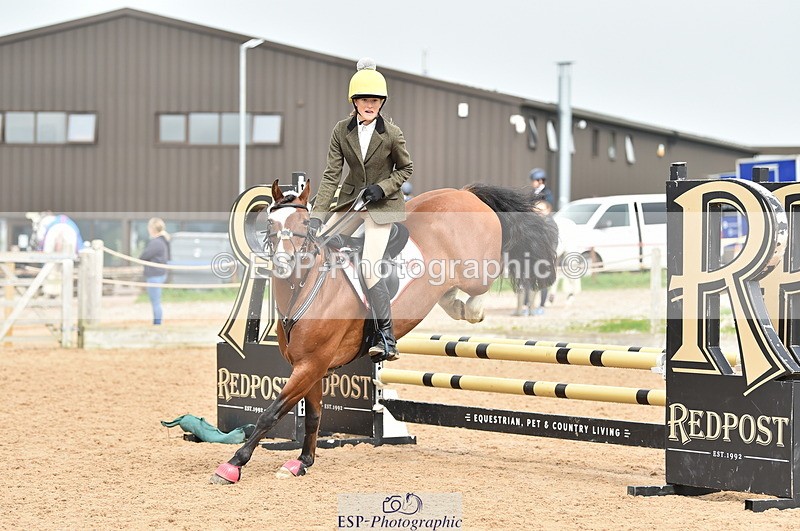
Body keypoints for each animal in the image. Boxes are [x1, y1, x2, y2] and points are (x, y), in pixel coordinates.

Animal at [210, 179, 559, 484]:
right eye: (270, 223)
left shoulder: (311, 364)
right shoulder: (309, 367)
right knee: (450, 291)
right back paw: (457, 306)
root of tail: (464, 193)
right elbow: (313, 416)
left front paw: (233, 465)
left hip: (477, 270)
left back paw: (471, 309)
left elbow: (270, 413)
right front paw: (302, 463)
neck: (305, 287)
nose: (284, 263)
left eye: (305, 222)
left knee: (490, 275)